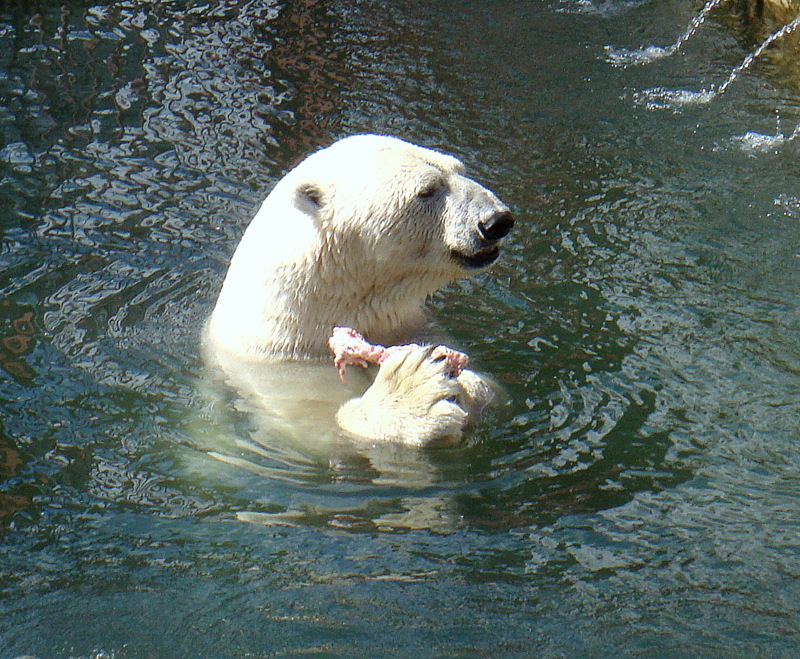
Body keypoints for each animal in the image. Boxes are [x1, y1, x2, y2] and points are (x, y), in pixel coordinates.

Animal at [206, 135, 512, 448]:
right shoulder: (280, 372)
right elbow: (318, 430)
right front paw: (411, 389)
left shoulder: (410, 325)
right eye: (426, 190)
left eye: (460, 169)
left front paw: (468, 384)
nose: (497, 221)